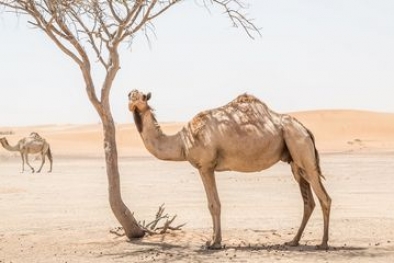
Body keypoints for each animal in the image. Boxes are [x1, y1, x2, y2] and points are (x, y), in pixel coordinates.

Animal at [127, 89, 330, 251]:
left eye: (143, 97)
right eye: (129, 95)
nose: (132, 100)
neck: (182, 141)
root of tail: (306, 130)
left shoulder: (206, 166)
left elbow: (214, 205)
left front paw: (214, 243)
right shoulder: (206, 167)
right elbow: (212, 204)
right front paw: (212, 240)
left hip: (301, 148)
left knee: (324, 198)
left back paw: (323, 243)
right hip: (295, 162)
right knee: (308, 202)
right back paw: (293, 241)